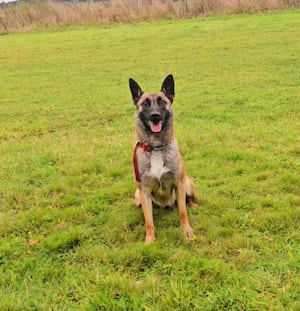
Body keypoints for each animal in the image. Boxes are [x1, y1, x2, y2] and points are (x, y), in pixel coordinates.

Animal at [129, 74, 197, 245]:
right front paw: (149, 240)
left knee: (188, 201)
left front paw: (187, 231)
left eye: (162, 102)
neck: (156, 147)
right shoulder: (144, 191)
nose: (155, 116)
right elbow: (149, 222)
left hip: (187, 184)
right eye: (145, 103)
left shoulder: (178, 184)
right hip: (138, 196)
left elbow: (183, 212)